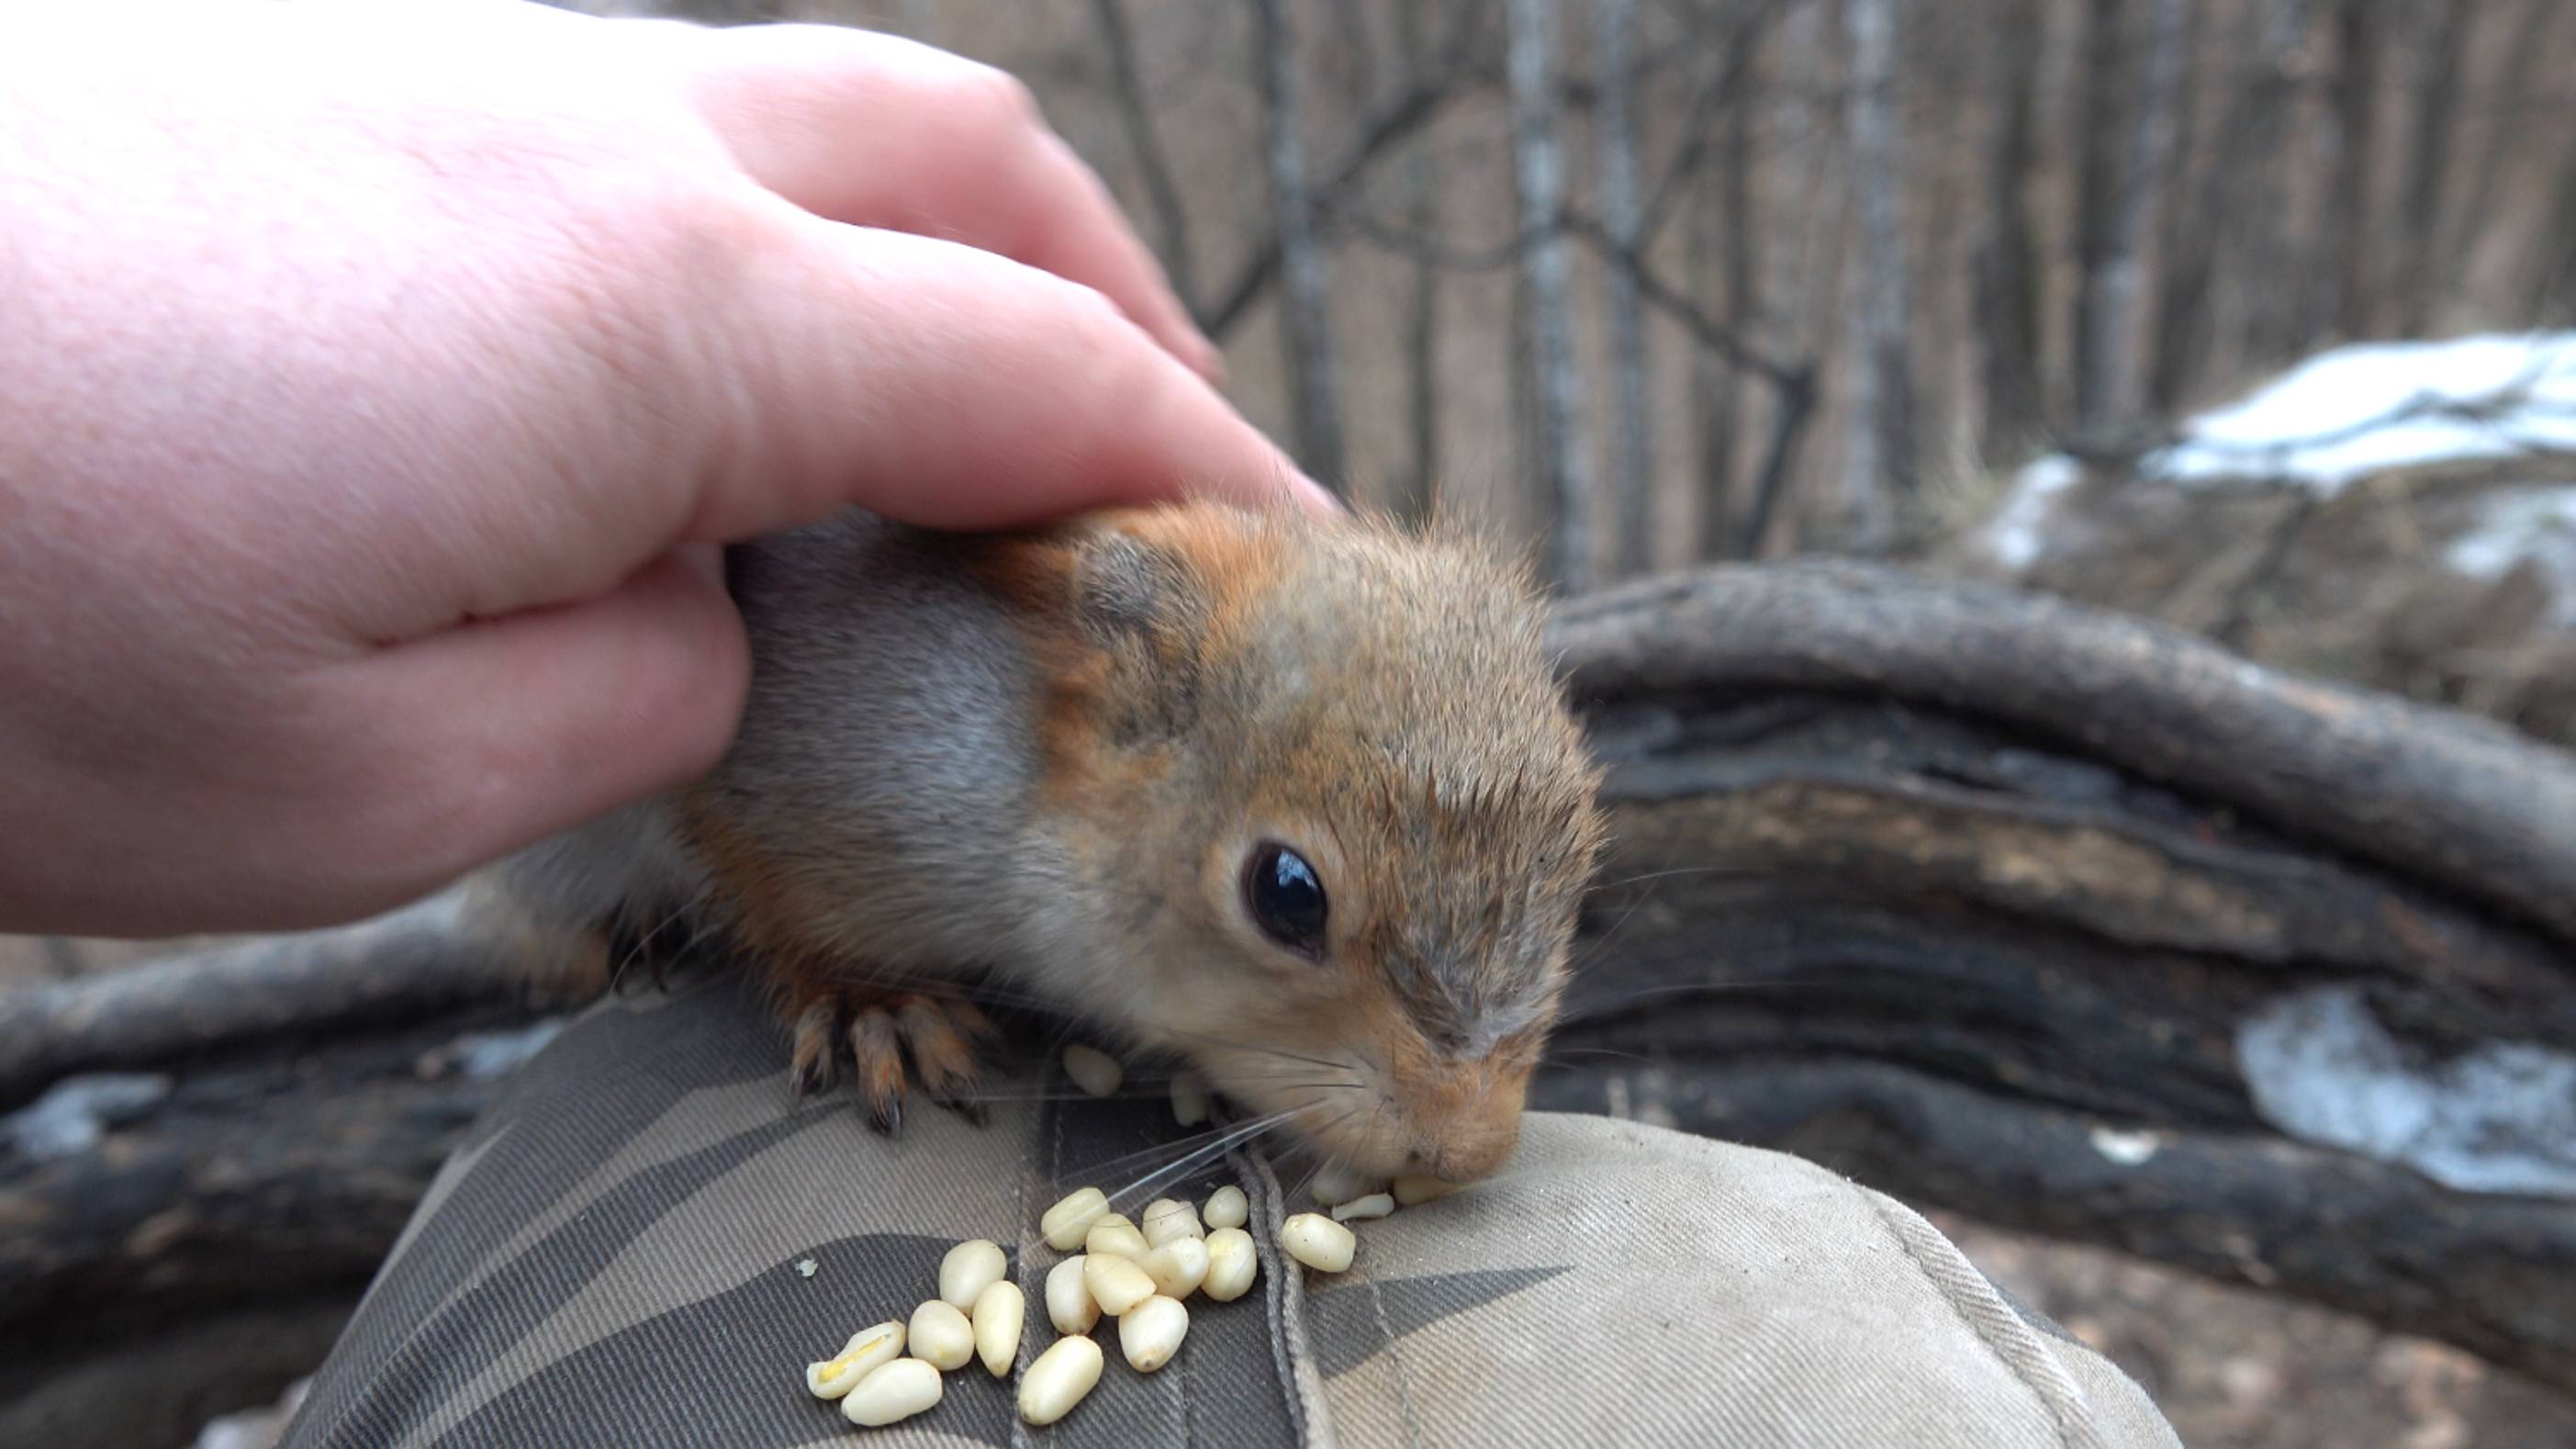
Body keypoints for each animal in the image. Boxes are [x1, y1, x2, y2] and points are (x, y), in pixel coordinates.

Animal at [467, 500, 1605, 1185]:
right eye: (1287, 892)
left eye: (1583, 867)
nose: (1469, 1151)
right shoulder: (791, 750)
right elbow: (766, 886)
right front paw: (877, 1007)